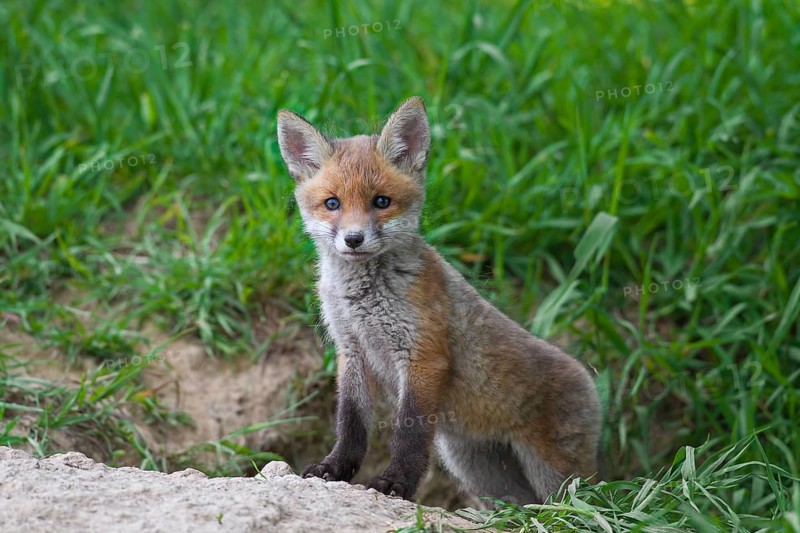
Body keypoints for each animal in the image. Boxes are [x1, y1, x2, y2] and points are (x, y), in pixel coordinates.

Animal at [276, 96, 601, 504]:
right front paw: (333, 469)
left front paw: (396, 484)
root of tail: (591, 384)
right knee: (520, 504)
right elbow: (350, 425)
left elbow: (410, 434)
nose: (353, 239)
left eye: (381, 202)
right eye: (332, 203)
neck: (363, 300)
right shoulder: (352, 351)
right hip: (478, 468)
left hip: (552, 474)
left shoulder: (423, 356)